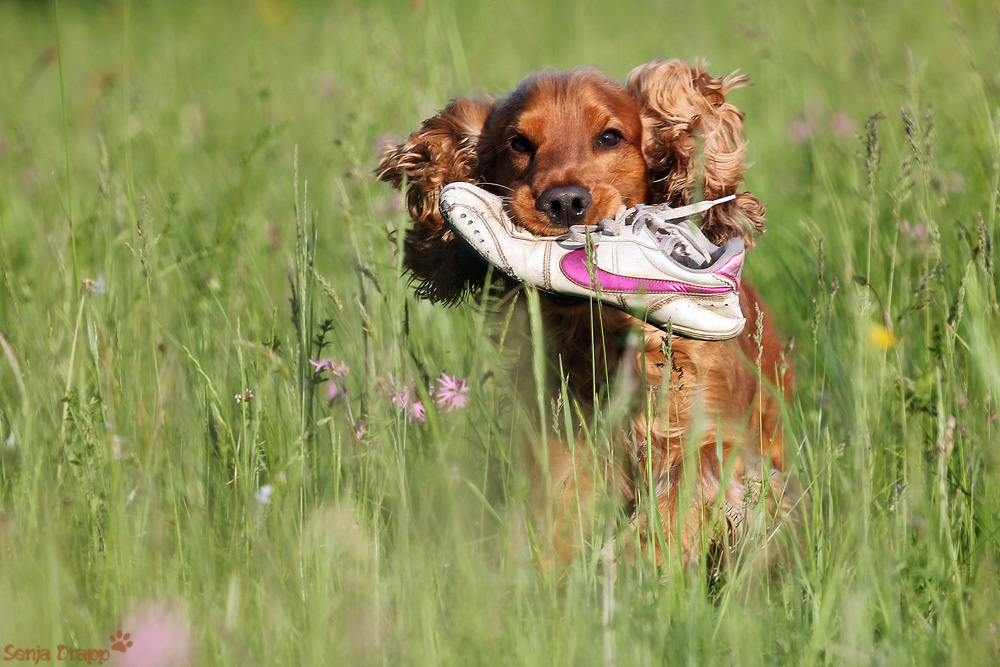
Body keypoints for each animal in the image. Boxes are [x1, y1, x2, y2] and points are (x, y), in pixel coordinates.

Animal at [378, 58, 792, 568]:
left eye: (610, 137)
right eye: (519, 143)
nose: (564, 202)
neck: (600, 334)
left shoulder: (712, 436)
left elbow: (682, 494)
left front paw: (626, 565)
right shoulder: (560, 450)